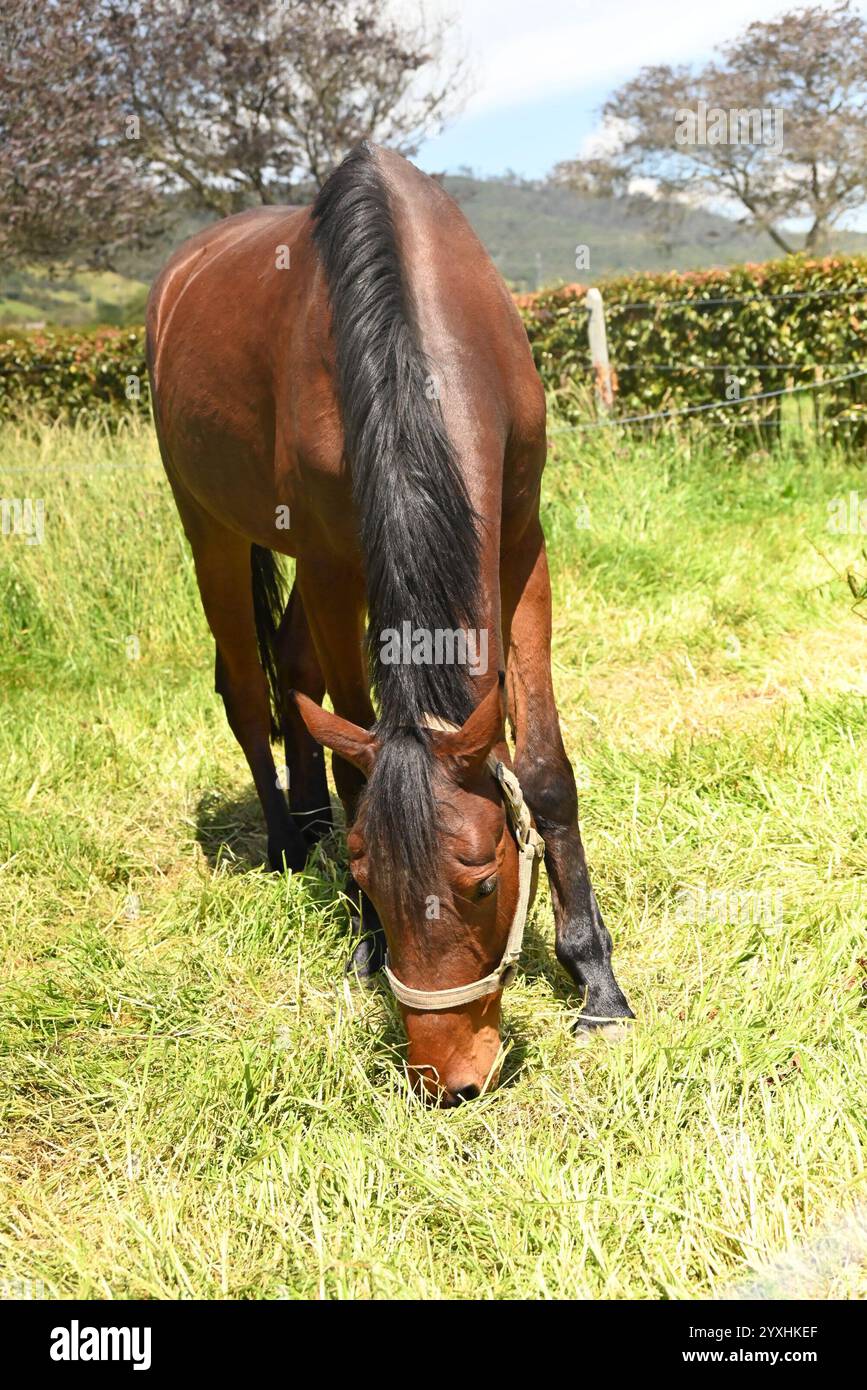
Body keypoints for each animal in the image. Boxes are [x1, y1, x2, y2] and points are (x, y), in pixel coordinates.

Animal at [146, 141, 633, 1106]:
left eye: (481, 883)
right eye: (374, 870)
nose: (449, 1077)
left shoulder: (520, 540)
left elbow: (543, 767)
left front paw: (595, 980)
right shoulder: (338, 566)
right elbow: (354, 753)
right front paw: (365, 940)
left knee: (287, 674)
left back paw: (303, 824)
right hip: (210, 527)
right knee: (248, 689)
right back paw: (287, 842)